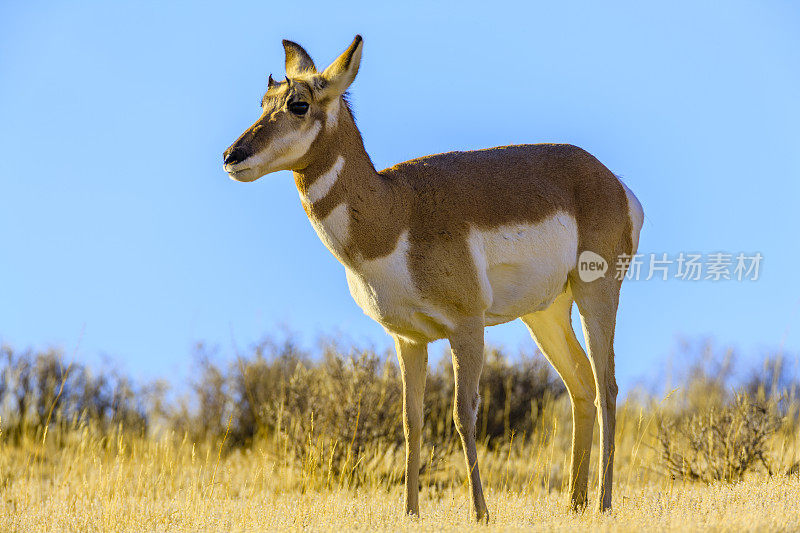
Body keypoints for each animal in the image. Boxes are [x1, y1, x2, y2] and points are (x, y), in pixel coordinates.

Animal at [223, 36, 644, 520]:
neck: (395, 211)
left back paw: (603, 503)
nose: (231, 156)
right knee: (580, 383)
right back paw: (574, 504)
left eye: (298, 103)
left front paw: (480, 513)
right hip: (546, 312)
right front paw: (409, 512)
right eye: (263, 101)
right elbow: (412, 420)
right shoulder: (408, 338)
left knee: (606, 386)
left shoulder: (467, 327)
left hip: (596, 292)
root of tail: (612, 181)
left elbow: (463, 414)